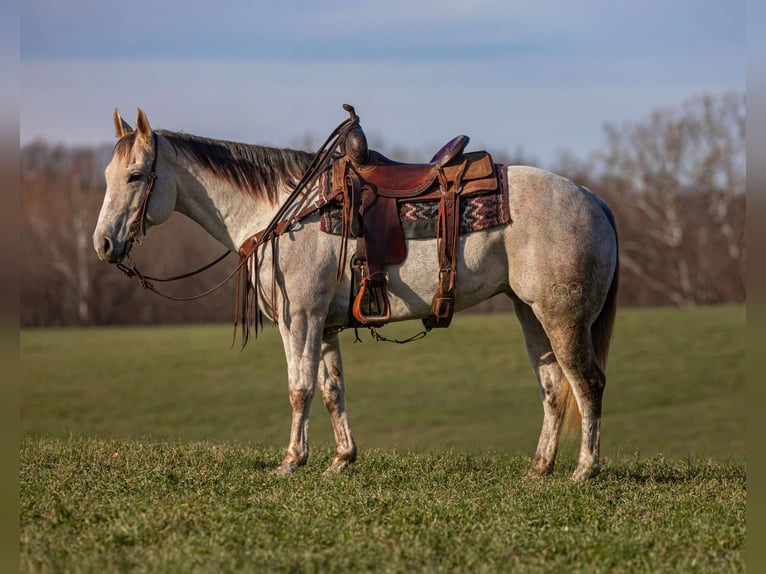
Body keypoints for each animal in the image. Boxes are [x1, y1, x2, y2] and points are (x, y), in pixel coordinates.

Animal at [93, 107, 620, 482]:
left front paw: (291, 461)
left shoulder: (300, 318)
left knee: (588, 383)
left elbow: (300, 388)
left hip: (563, 318)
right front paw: (341, 459)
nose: (103, 245)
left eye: (136, 176)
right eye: (107, 177)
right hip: (531, 315)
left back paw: (584, 470)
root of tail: (595, 200)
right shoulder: (323, 325)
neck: (283, 212)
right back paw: (539, 468)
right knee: (553, 388)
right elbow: (331, 390)